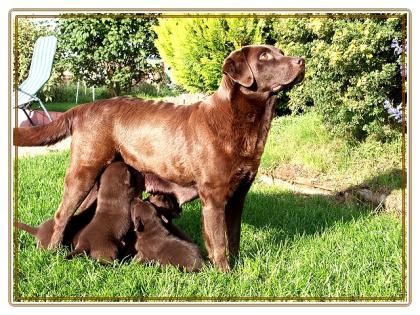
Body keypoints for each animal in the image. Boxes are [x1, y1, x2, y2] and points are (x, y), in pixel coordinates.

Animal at [13, 44, 306, 272]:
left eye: (281, 53)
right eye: (264, 56)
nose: (301, 61)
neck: (244, 124)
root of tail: (82, 108)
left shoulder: (238, 196)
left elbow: (234, 236)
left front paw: (238, 269)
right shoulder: (213, 196)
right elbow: (218, 241)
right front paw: (224, 275)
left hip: (97, 181)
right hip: (84, 171)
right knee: (62, 213)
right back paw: (52, 253)